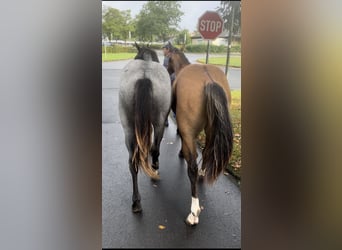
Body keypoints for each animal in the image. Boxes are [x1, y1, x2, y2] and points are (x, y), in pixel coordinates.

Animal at [119, 43, 171, 213]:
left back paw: (136, 201)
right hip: (159, 122)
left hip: (129, 128)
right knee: (155, 148)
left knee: (132, 162)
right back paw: (154, 168)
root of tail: (144, 76)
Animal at [167, 47, 234, 226]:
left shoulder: (186, 131)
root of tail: (208, 79)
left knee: (192, 167)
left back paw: (194, 211)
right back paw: (203, 173)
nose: (167, 69)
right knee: (206, 151)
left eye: (167, 58)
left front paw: (181, 153)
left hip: (190, 130)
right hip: (211, 129)